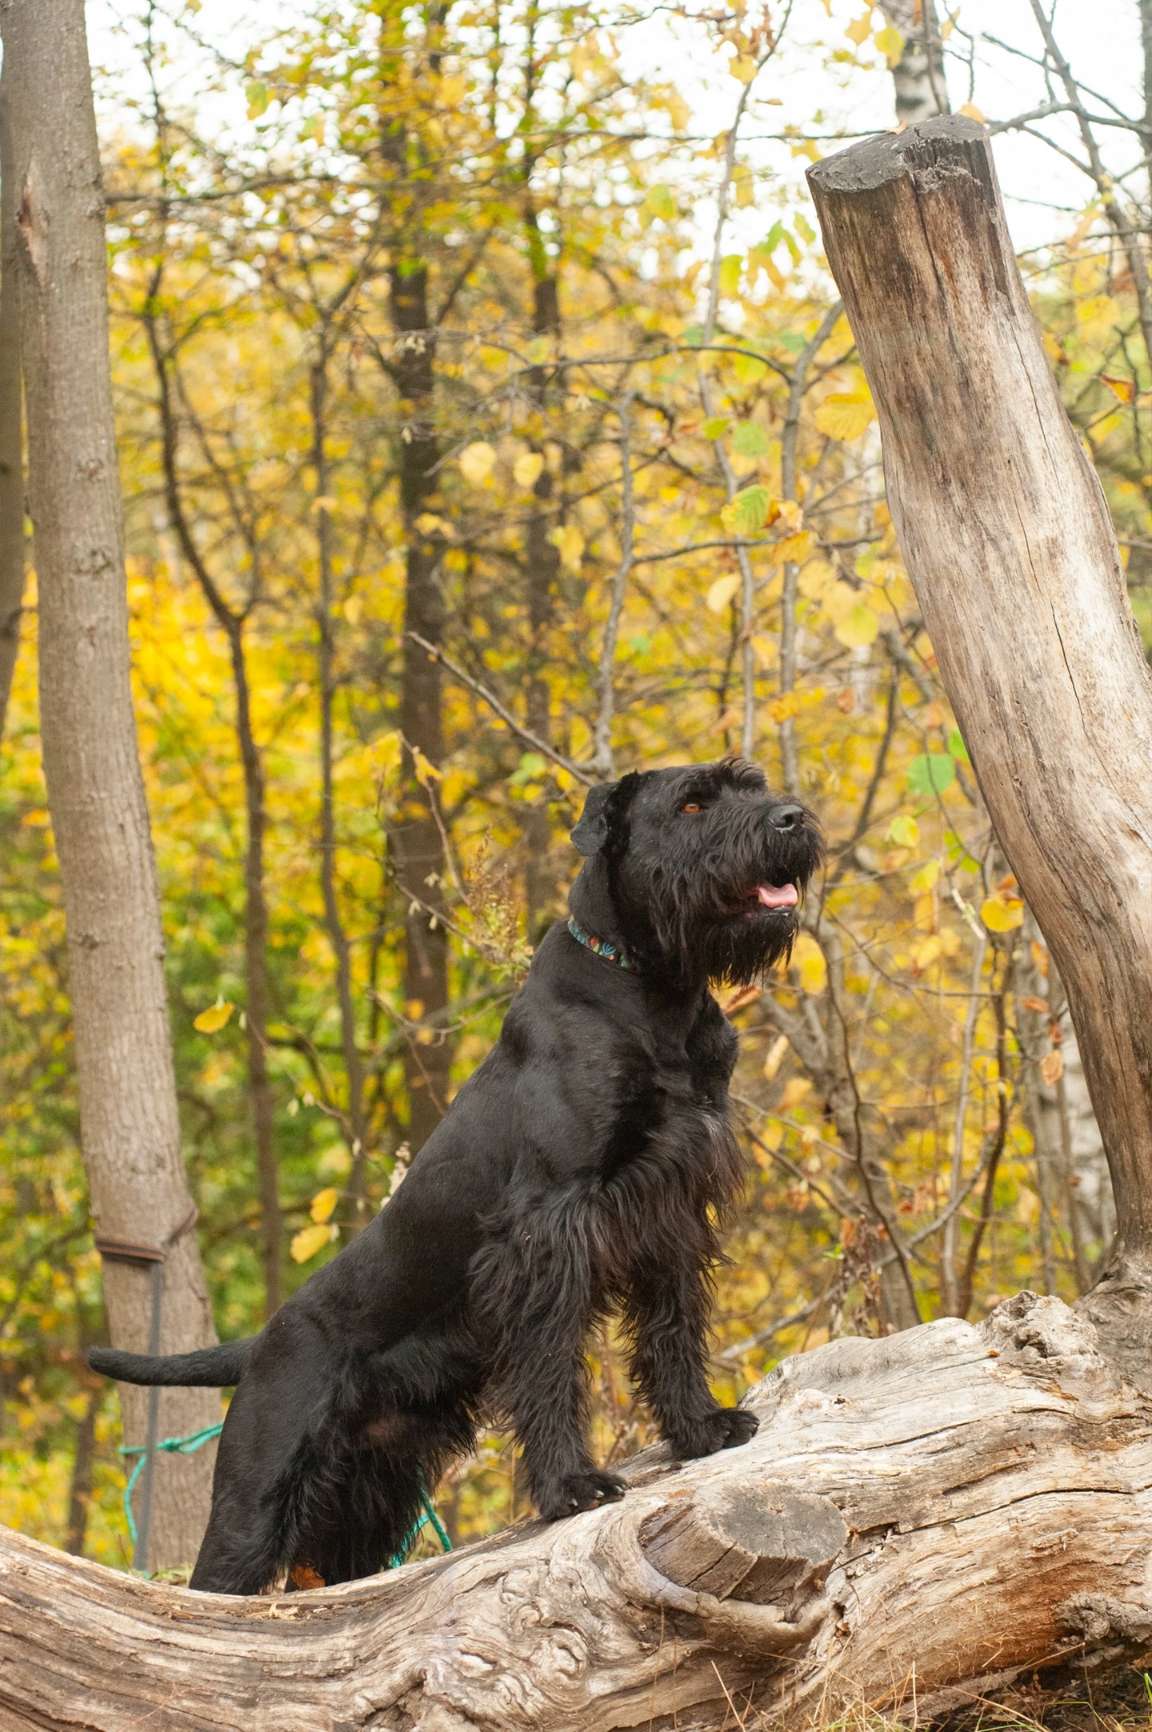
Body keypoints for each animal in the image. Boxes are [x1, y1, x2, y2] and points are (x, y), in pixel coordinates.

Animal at [90, 756, 822, 1594]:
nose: (792, 819)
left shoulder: (668, 1206)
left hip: (368, 1503)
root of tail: (264, 1340)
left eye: (751, 785)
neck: (650, 993)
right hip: (258, 1495)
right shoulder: (548, 1228)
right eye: (694, 803)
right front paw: (570, 1485)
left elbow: (673, 1327)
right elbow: (549, 1367)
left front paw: (698, 1425)